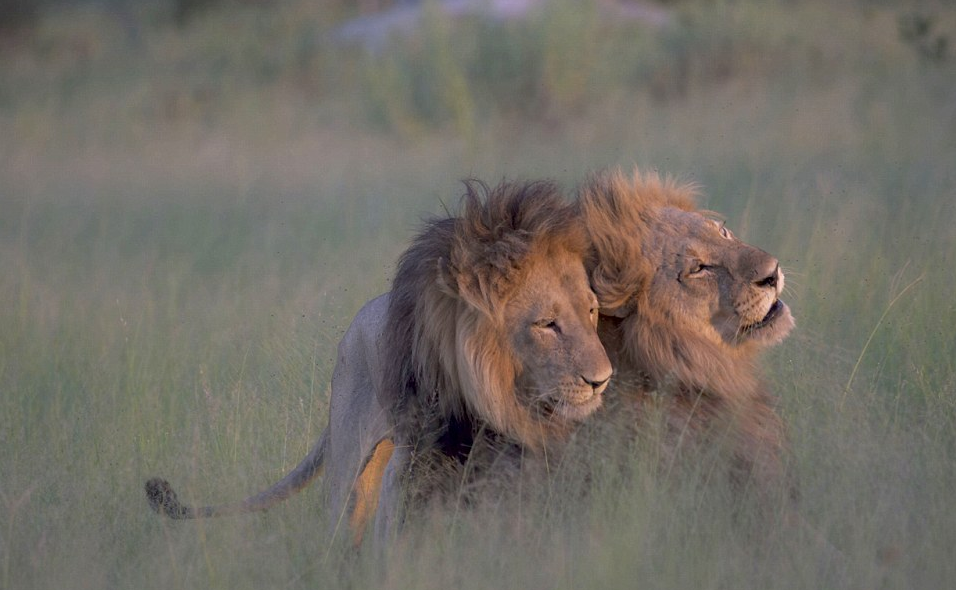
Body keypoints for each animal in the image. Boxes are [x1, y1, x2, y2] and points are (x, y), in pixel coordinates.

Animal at [145, 179, 613, 547]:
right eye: (547, 324)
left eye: (591, 312)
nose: (602, 380)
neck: (496, 405)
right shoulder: (412, 468)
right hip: (349, 473)